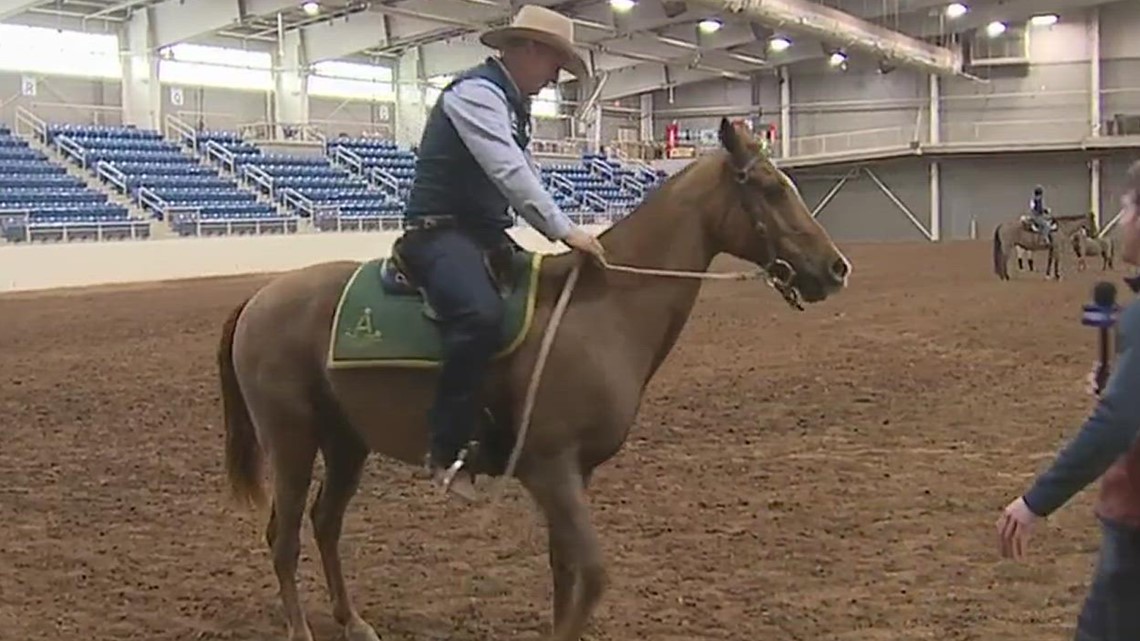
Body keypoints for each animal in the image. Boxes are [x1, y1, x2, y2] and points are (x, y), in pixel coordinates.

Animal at [217, 117, 852, 634]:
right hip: (292, 441)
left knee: (325, 525)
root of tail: (259, 298)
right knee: (285, 538)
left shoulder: (574, 475)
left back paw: (354, 622)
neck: (602, 310)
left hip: (346, 442)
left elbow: (563, 569)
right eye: (770, 188)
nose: (836, 269)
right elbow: (592, 575)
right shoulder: (550, 470)